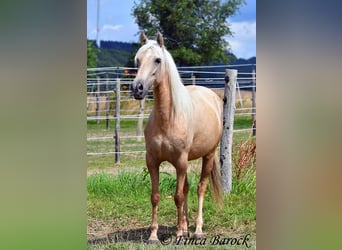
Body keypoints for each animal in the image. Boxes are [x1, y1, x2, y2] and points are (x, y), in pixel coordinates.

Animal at [132, 32, 224, 243]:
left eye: (158, 60)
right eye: (137, 60)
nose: (137, 88)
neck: (168, 118)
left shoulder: (181, 162)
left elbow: (178, 197)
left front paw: (181, 235)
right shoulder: (153, 161)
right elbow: (156, 196)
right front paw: (154, 235)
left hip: (208, 156)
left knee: (200, 188)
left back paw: (197, 230)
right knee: (188, 188)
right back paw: (185, 226)